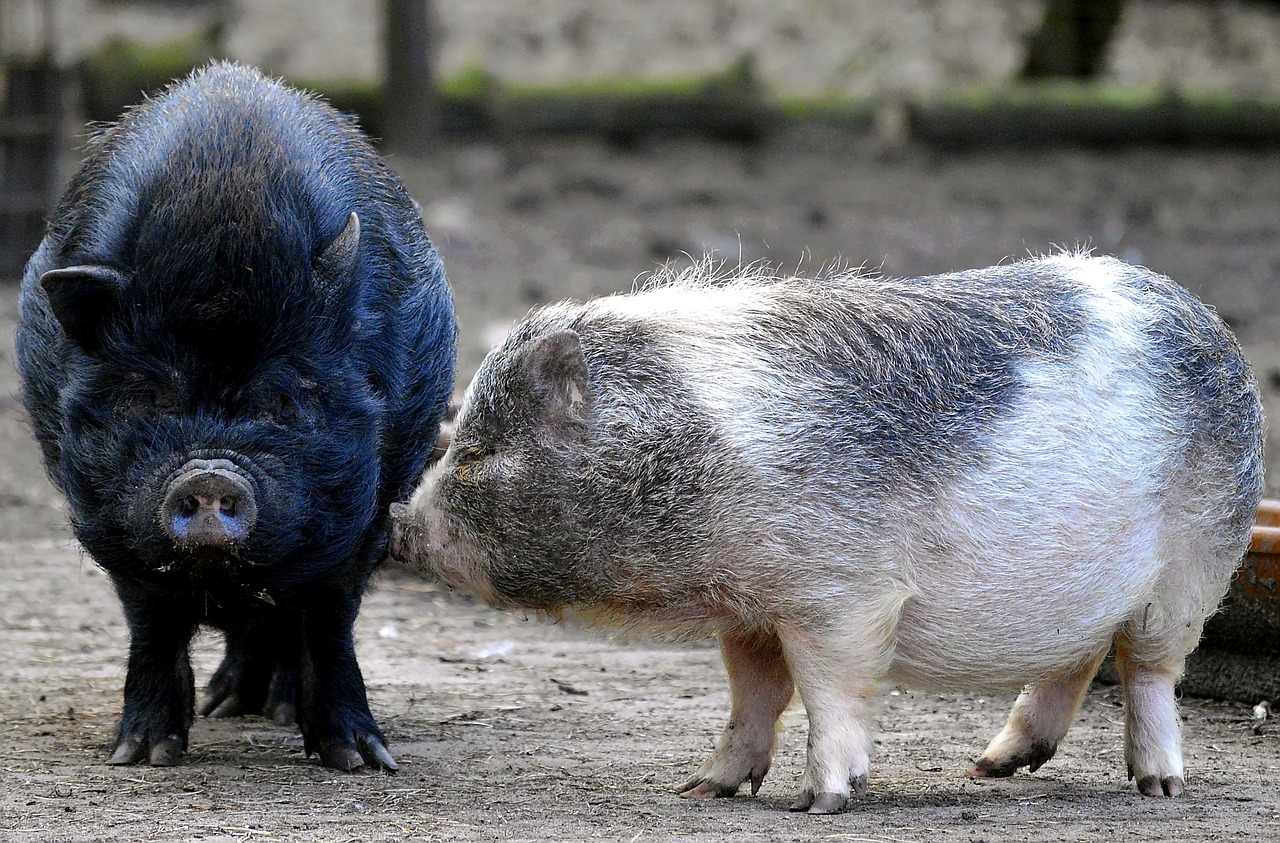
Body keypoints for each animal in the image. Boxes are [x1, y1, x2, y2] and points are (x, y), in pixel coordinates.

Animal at [15, 61, 455, 772]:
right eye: (152, 394)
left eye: (283, 397)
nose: (209, 474)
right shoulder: (106, 514)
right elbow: (153, 624)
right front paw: (142, 757)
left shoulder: (366, 512)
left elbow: (329, 623)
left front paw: (361, 761)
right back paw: (227, 708)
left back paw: (274, 712)